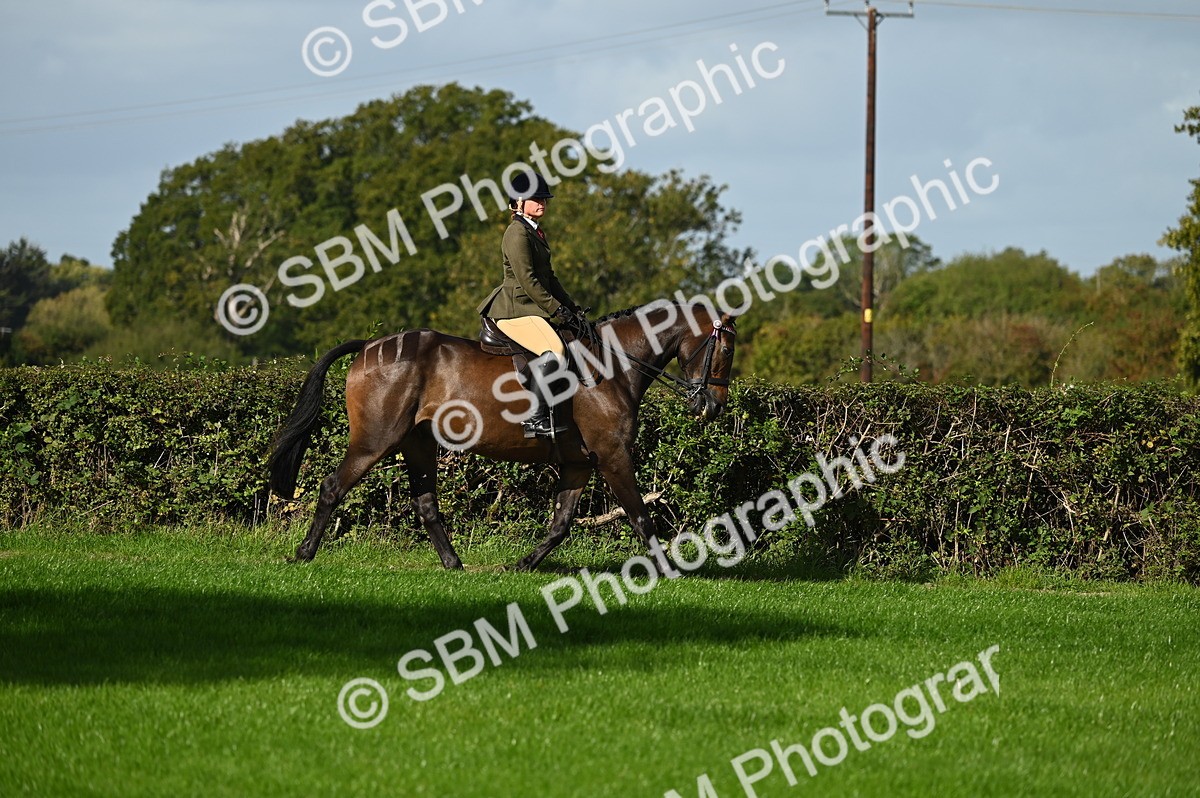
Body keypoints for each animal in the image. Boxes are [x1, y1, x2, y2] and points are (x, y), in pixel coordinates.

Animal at [267, 301, 737, 571]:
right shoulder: (613, 455)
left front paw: (522, 564)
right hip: (375, 442)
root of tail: (369, 346)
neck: (611, 366)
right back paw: (304, 554)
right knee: (332, 487)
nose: (712, 407)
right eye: (727, 349)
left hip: (418, 444)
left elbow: (560, 524)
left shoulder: (580, 463)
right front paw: (670, 569)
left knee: (426, 504)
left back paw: (454, 564)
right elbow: (641, 516)